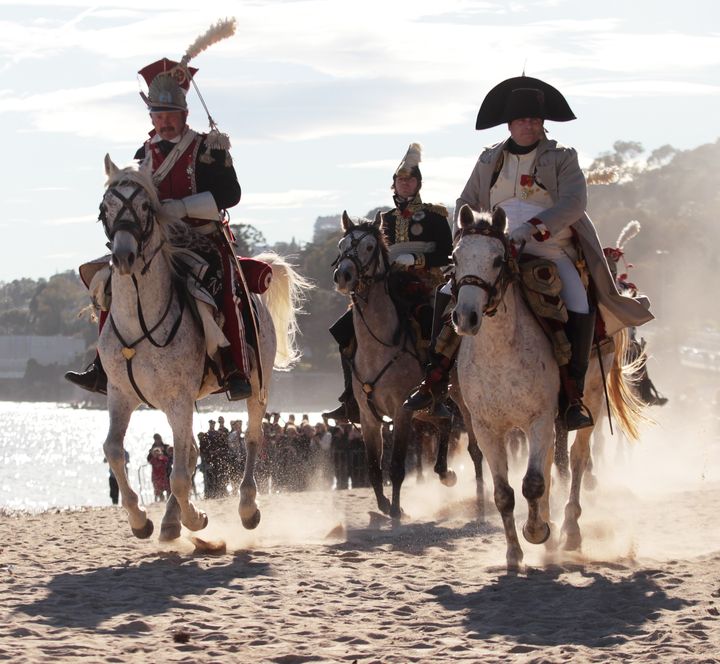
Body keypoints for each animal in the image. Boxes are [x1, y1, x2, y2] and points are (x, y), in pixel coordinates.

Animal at [96, 156, 310, 540]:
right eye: (105, 208)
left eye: (146, 207)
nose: (123, 257)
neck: (140, 320)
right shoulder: (120, 394)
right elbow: (115, 452)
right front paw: (141, 519)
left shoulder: (178, 398)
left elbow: (181, 475)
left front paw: (195, 518)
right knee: (190, 451)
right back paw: (169, 521)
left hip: (257, 384)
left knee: (251, 439)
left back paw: (246, 508)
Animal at [452, 206, 644, 564]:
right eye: (456, 257)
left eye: (498, 260)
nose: (466, 317)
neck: (500, 351)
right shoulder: (487, 429)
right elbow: (504, 493)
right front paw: (514, 552)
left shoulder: (539, 419)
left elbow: (533, 483)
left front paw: (537, 532)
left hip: (589, 401)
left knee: (578, 458)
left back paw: (569, 529)